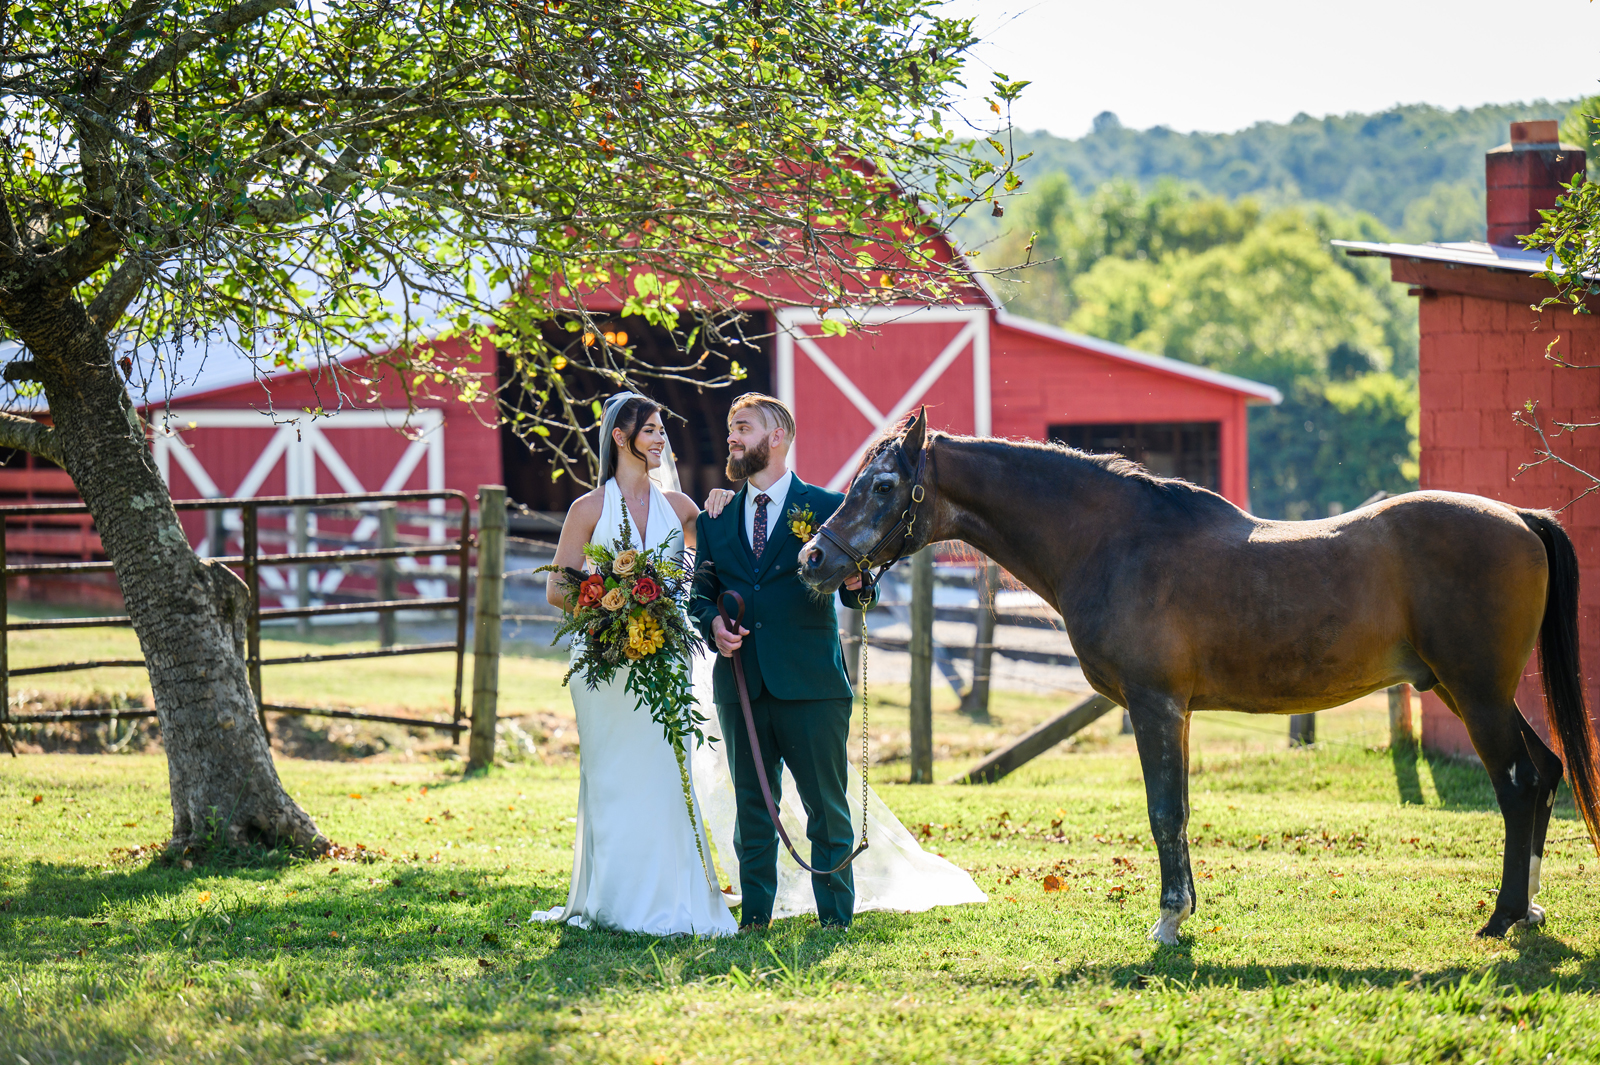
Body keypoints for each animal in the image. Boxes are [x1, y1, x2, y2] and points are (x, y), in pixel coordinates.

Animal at [798, 407, 1600, 944]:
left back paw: (1500, 918)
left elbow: (1164, 813)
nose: (813, 559)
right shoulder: (1174, 711)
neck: (1115, 539)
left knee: (1518, 784)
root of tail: (1522, 518)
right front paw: (1180, 914)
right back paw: (1530, 911)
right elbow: (1176, 810)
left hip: (1478, 694)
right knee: (1544, 770)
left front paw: (1167, 922)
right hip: (1475, 693)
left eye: (882, 485)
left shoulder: (1154, 705)